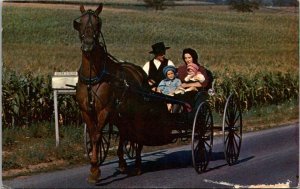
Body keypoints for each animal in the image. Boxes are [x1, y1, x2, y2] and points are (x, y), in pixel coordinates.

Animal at [74, 3, 179, 184]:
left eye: (98, 23)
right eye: (80, 23)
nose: (87, 44)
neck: (94, 77)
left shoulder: (104, 110)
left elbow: (97, 136)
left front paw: (95, 171)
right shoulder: (86, 111)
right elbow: (94, 136)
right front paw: (94, 167)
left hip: (136, 115)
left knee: (137, 136)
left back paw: (136, 165)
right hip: (122, 115)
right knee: (124, 133)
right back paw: (123, 163)